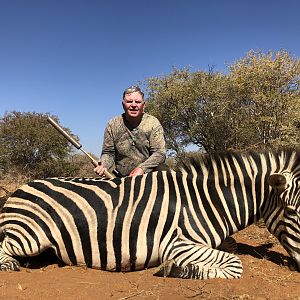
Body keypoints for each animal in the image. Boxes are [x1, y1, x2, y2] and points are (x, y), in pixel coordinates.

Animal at [0, 148, 298, 278]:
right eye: (292, 212)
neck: (206, 201)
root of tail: (19, 188)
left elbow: (232, 251)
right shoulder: (177, 244)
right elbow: (235, 265)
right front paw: (179, 270)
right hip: (30, 237)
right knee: (5, 248)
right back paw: (11, 265)